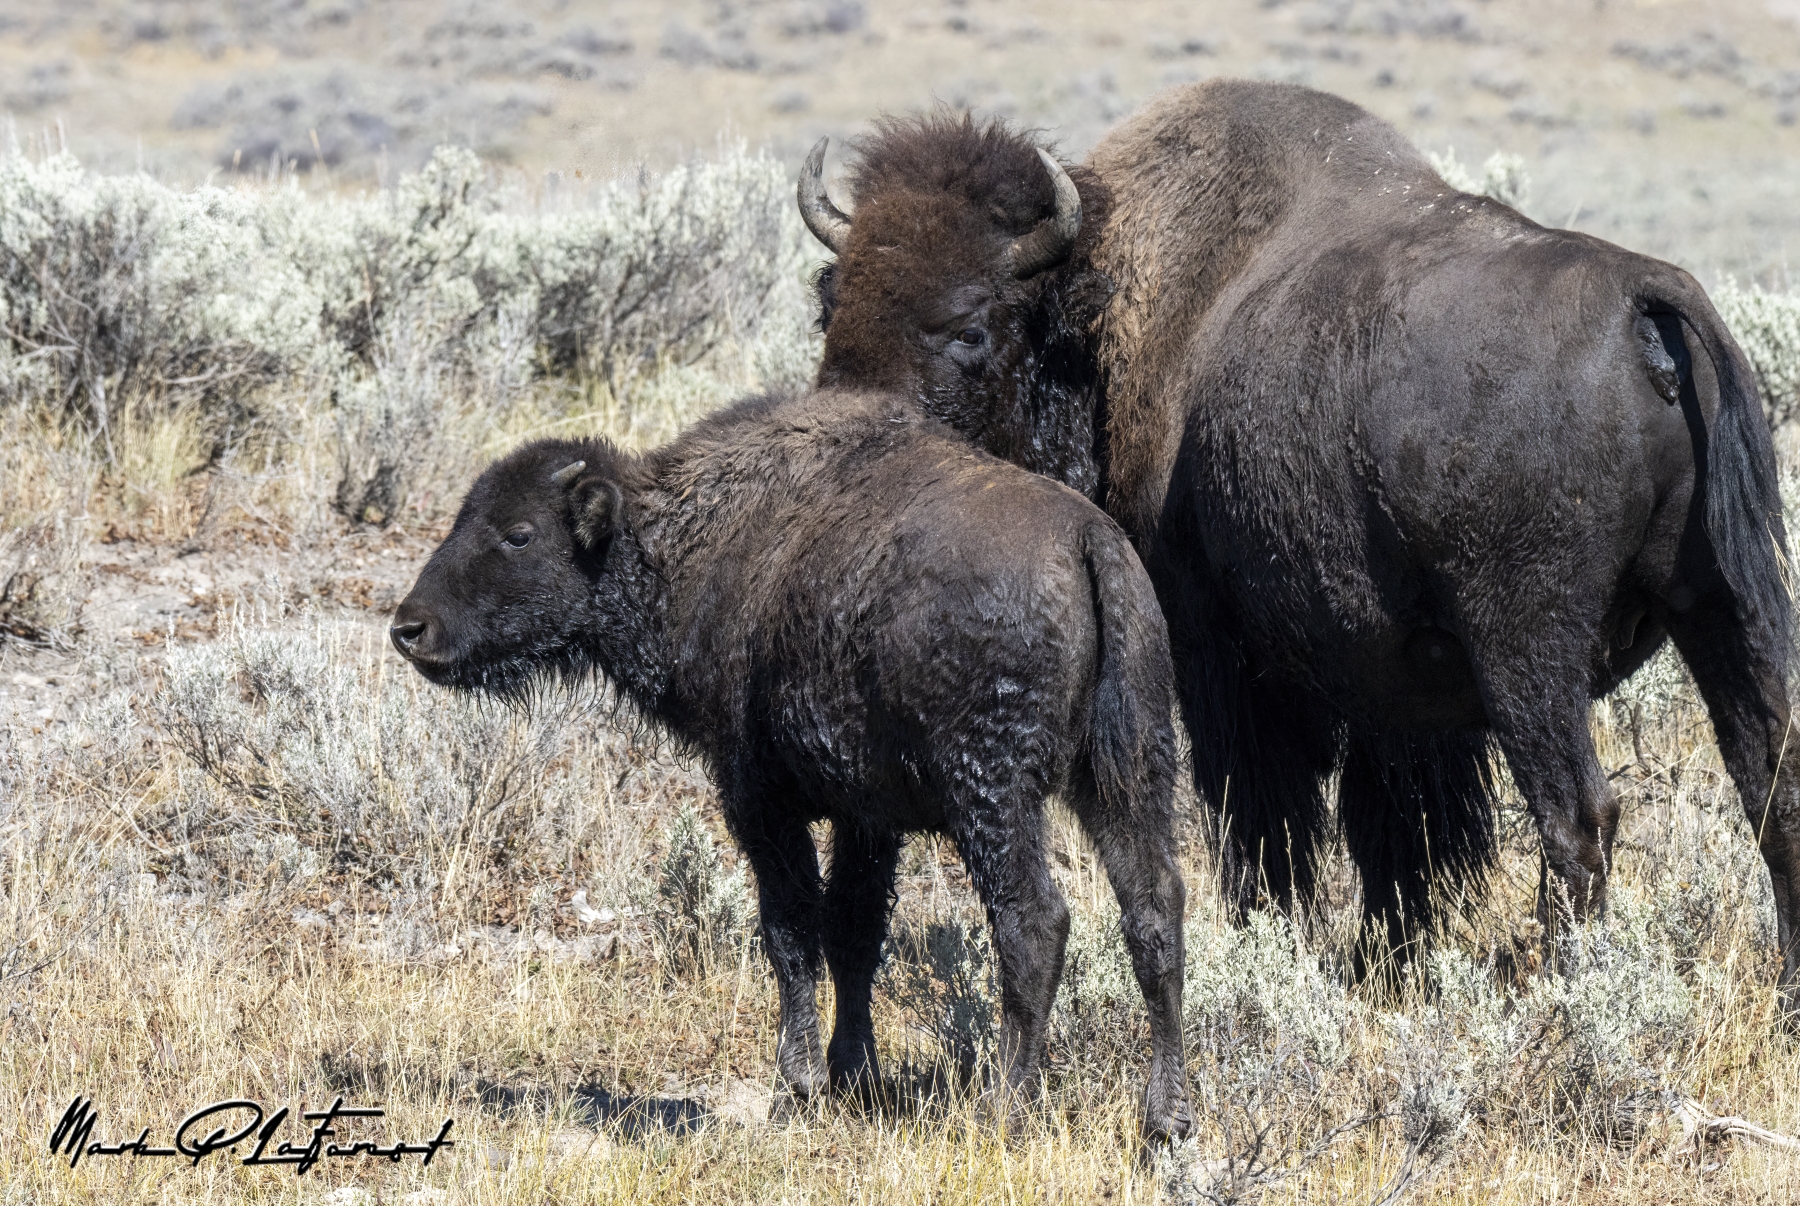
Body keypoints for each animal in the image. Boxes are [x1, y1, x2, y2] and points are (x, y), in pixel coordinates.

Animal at [390, 388, 1193, 1137]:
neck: (687, 541)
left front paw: (798, 1084)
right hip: (1128, 775)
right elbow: (853, 930)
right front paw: (853, 1073)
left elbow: (791, 930)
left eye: (520, 534)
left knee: (1033, 922)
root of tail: (1089, 540)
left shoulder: (761, 800)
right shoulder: (867, 817)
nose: (409, 628)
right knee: (1153, 911)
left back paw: (1002, 1109)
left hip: (993, 797)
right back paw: (1165, 1119)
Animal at [800, 80, 1800, 1011]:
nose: (856, 440)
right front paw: (1388, 963)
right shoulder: (1389, 687)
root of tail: (1642, 298)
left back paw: (1562, 991)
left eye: (971, 327)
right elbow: (1389, 832)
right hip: (1726, 604)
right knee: (1771, 781)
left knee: (1578, 814)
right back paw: (1783, 987)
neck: (1104, 318)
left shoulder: (1219, 655)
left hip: (1530, 651)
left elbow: (1270, 819)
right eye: (832, 304)